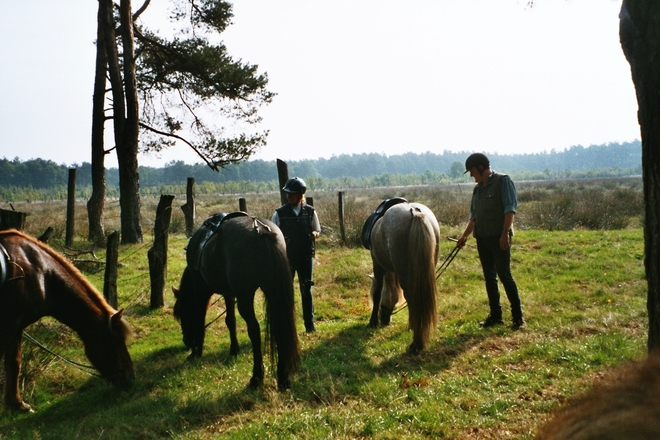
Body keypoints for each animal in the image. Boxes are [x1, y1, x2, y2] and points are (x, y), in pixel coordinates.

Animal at [0, 229, 135, 410]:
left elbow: (14, 362)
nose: (130, 377)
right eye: (118, 341)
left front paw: (16, 404)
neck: (41, 271)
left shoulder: (17, 325)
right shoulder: (10, 323)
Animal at [173, 215, 302, 390]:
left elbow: (200, 319)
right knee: (278, 326)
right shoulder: (228, 293)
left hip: (245, 298)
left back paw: (257, 376)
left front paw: (196, 352)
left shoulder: (200, 291)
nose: (186, 342)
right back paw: (283, 377)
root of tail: (260, 230)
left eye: (182, 316)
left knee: (254, 330)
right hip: (272, 291)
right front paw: (234, 349)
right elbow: (230, 321)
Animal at [366, 203, 438, 354]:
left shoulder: (378, 265)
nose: (385, 320)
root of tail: (415, 212)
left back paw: (416, 344)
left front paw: (373, 321)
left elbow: (377, 293)